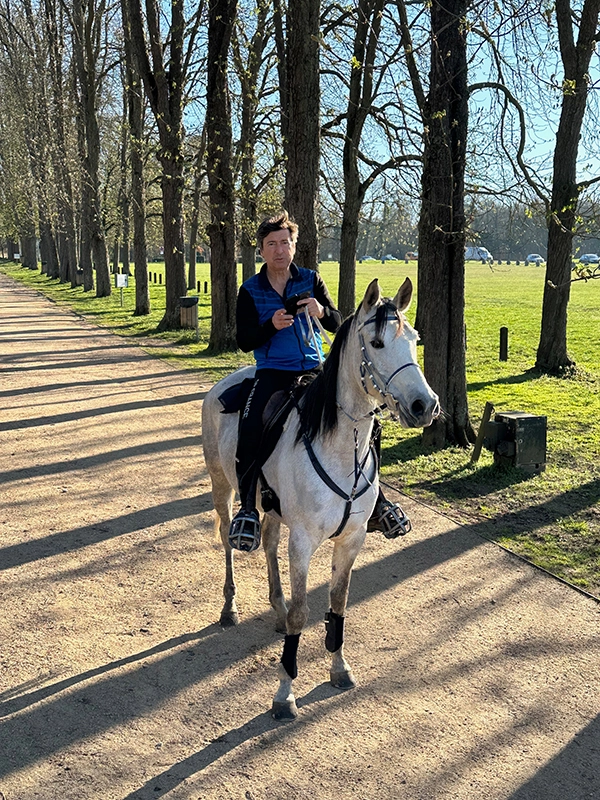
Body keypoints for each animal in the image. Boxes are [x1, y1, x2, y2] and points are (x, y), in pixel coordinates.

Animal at [202, 277, 440, 720]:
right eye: (377, 343)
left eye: (415, 339)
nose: (425, 405)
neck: (338, 446)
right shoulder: (303, 542)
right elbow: (302, 613)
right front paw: (284, 693)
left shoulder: (351, 540)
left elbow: (338, 602)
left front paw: (339, 668)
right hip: (221, 486)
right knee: (228, 539)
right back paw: (230, 607)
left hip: (271, 507)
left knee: (269, 543)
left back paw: (275, 607)